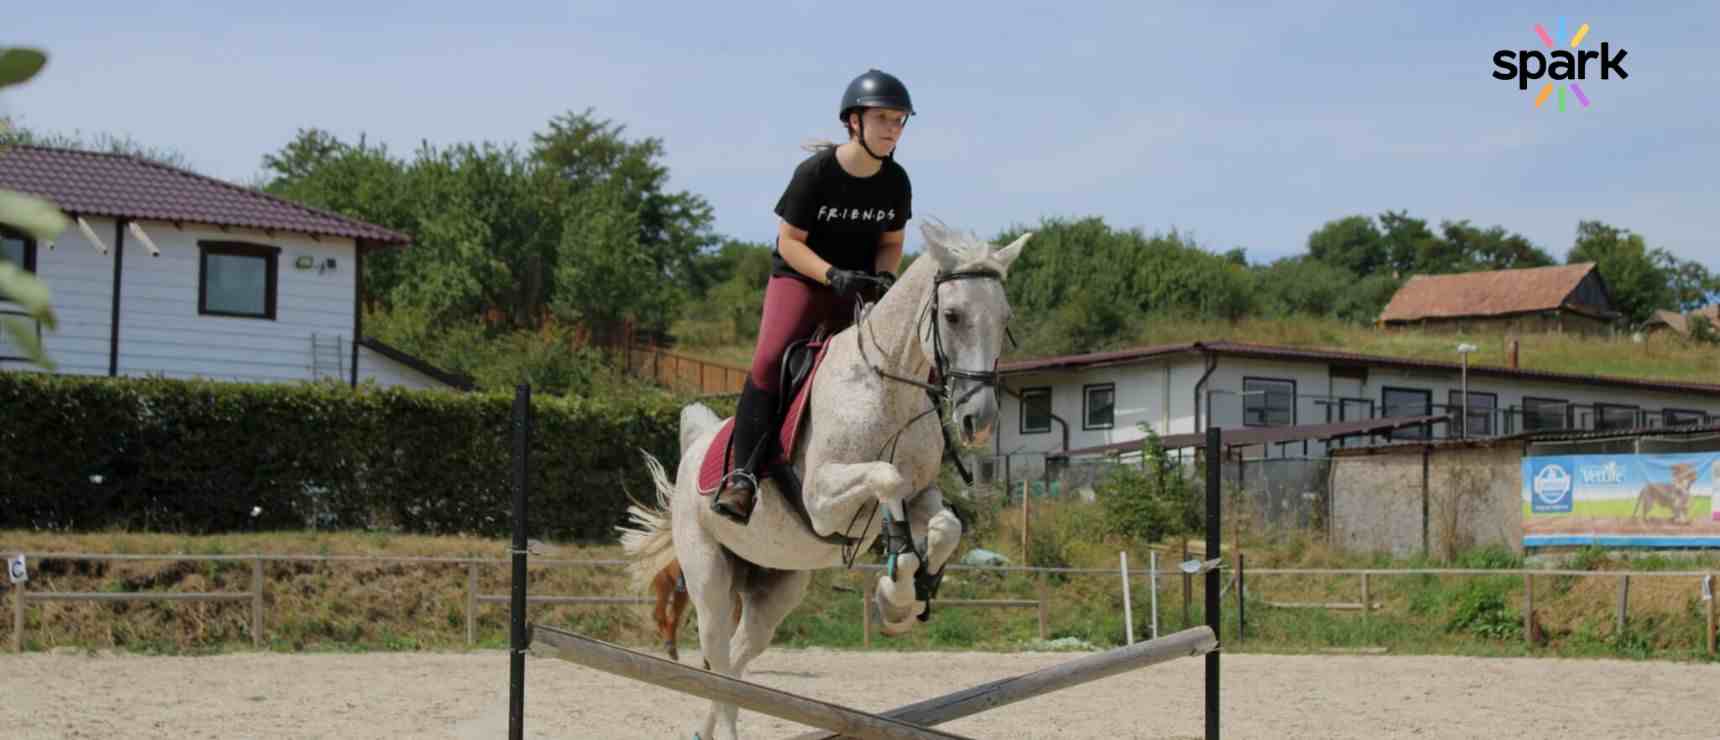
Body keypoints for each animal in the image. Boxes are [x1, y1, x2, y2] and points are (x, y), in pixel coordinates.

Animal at [620, 220, 1030, 740]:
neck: (887, 389)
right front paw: (897, 590)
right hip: (707, 573)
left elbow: (944, 525)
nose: (980, 420)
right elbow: (887, 478)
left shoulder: (922, 493)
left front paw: (907, 596)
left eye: (1005, 317)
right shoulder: (820, 500)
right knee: (717, 658)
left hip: (775, 585)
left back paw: (703, 730)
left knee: (736, 657)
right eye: (953, 316)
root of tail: (695, 450)